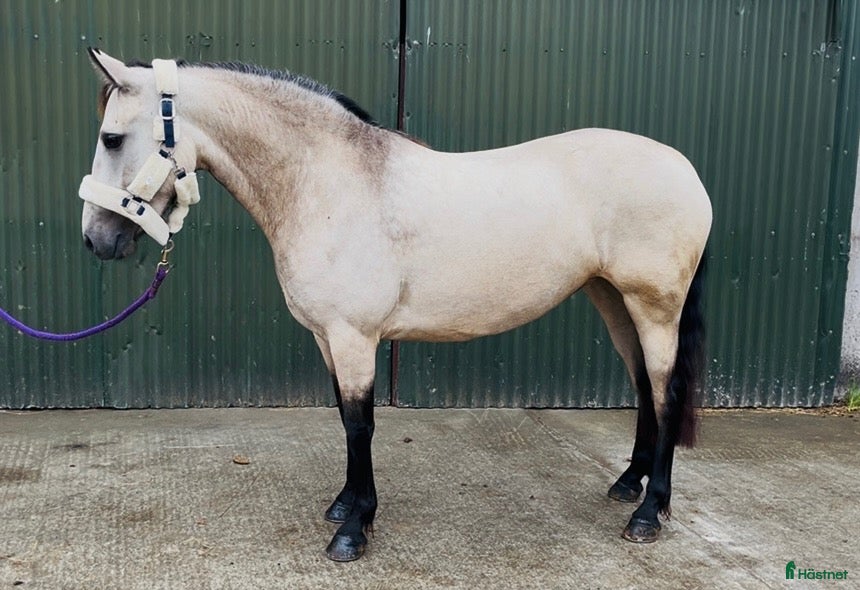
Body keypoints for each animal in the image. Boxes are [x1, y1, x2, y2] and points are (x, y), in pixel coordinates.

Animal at [79, 49, 711, 561]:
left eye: (112, 138)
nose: (96, 240)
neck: (329, 184)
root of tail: (684, 168)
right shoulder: (326, 338)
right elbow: (343, 416)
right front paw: (345, 505)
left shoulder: (354, 336)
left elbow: (361, 425)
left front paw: (353, 531)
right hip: (613, 300)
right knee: (643, 387)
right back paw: (627, 484)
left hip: (654, 307)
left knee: (667, 390)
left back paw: (648, 514)